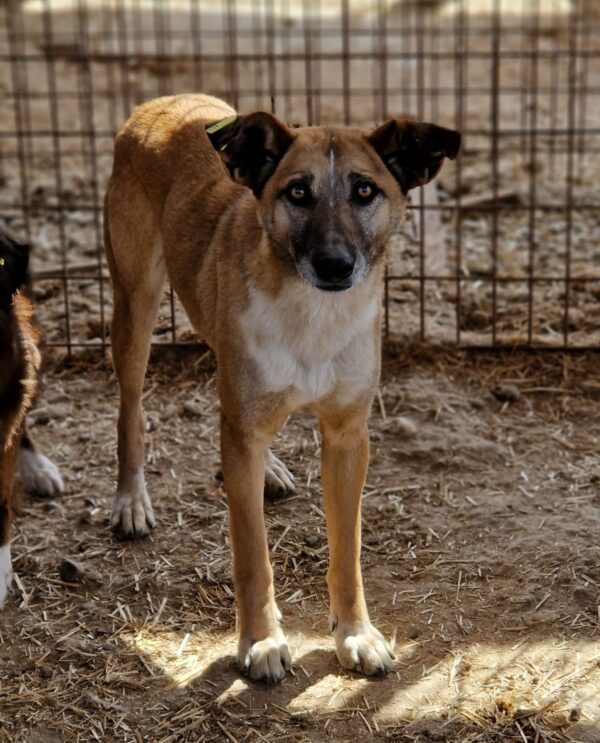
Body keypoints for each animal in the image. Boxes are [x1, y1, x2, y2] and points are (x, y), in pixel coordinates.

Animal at [104, 96, 460, 684]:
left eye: (365, 191)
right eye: (297, 192)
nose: (335, 264)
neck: (313, 316)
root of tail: (160, 104)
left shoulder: (347, 437)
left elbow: (347, 551)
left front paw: (355, 634)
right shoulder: (244, 432)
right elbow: (252, 556)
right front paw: (261, 641)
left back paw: (266, 468)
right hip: (135, 307)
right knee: (130, 410)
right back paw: (131, 500)